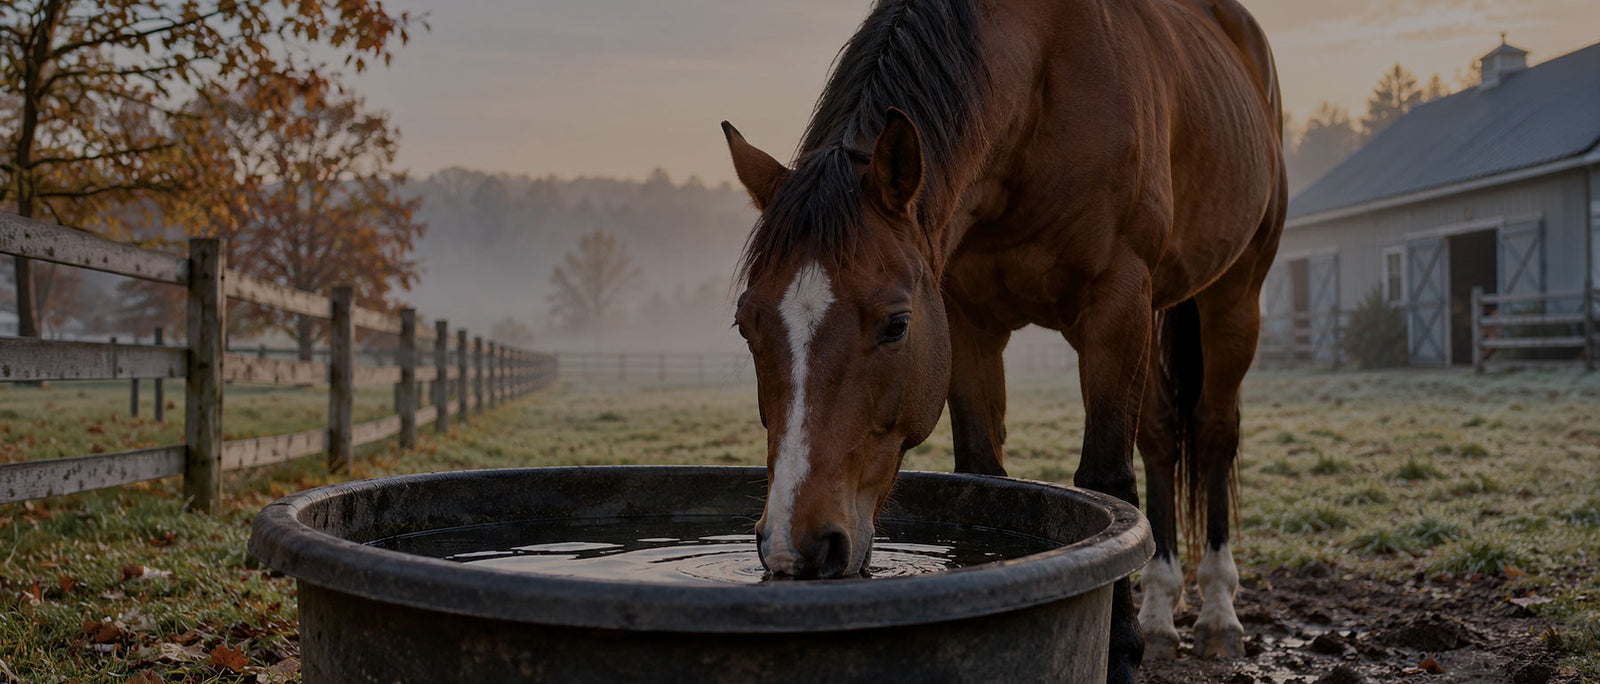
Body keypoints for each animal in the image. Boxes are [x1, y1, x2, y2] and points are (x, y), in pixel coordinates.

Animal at [722, 0, 1284, 679]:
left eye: (896, 325)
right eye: (747, 324)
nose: (795, 548)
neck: (1042, 86)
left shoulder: (1115, 303)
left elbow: (1106, 479)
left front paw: (1119, 650)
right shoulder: (967, 323)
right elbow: (982, 476)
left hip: (1234, 295)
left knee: (1213, 430)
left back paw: (1218, 614)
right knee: (1158, 438)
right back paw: (1159, 614)